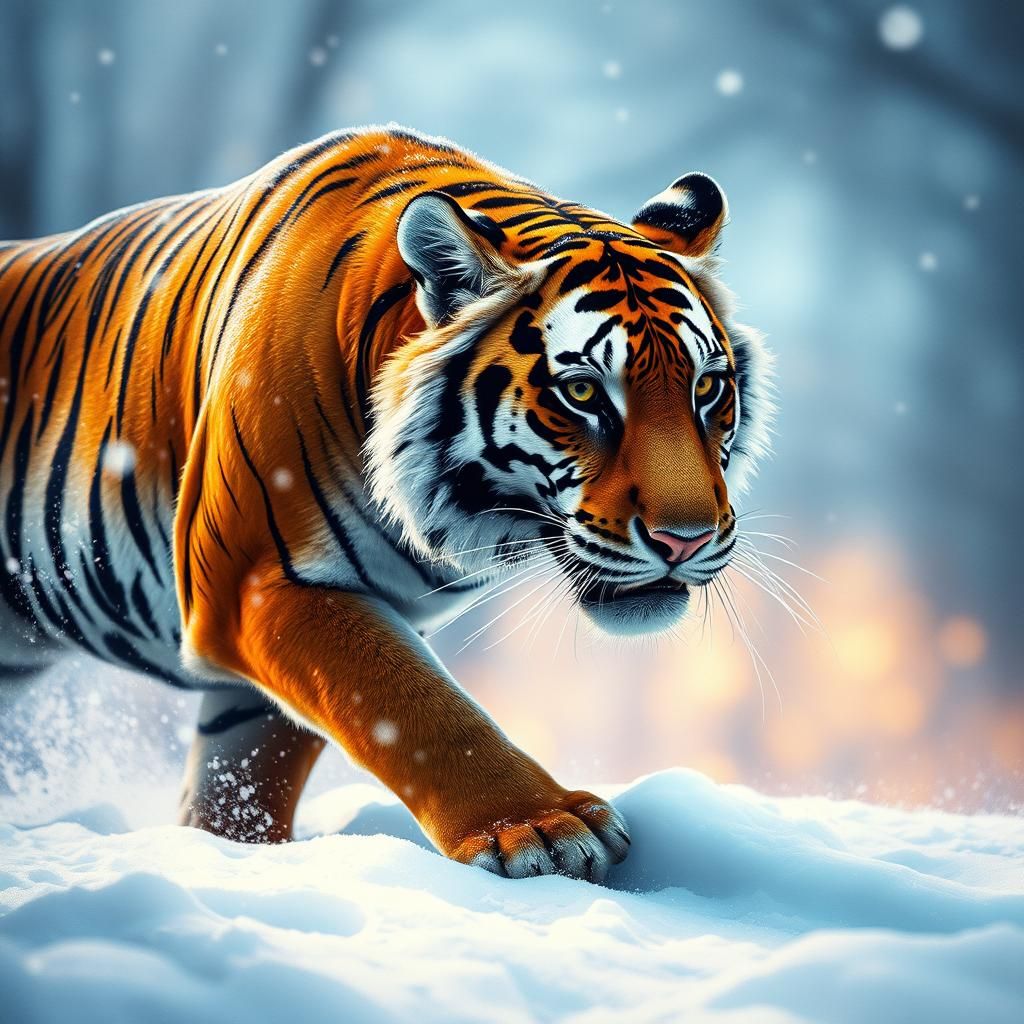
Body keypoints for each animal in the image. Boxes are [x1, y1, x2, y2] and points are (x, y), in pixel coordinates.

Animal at [0, 125, 772, 881]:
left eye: (707, 387)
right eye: (581, 392)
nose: (686, 540)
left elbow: (247, 774)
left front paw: (237, 852)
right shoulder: (256, 581)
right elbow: (411, 704)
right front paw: (541, 831)